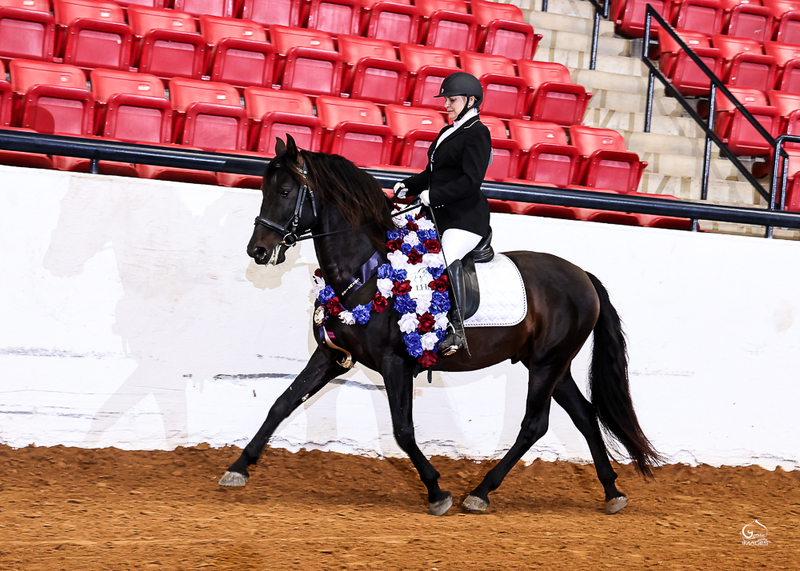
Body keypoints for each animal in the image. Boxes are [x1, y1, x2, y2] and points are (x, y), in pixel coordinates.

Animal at [219, 135, 661, 516]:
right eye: (264, 189)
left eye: (284, 192)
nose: (257, 251)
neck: (366, 271)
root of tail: (583, 276)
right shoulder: (330, 355)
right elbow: (282, 403)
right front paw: (239, 467)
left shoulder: (396, 364)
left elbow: (403, 431)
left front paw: (436, 490)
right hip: (552, 364)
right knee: (584, 415)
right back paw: (612, 491)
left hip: (547, 364)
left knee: (535, 424)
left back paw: (481, 492)